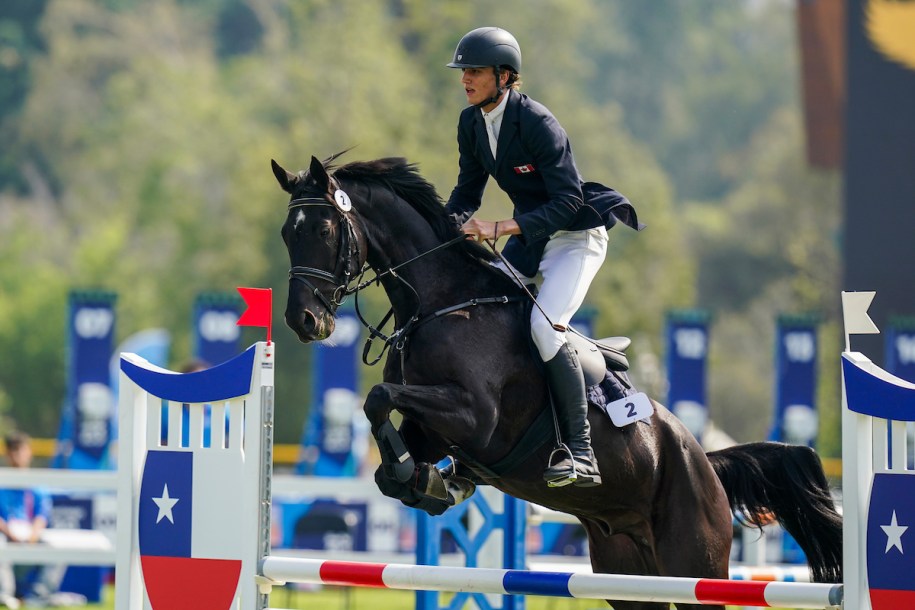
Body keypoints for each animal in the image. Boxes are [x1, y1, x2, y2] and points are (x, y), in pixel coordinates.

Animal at [274, 154, 844, 604]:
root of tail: (706, 463)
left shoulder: (474, 417)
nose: (304, 321)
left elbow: (378, 396)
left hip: (695, 565)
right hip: (626, 574)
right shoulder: (435, 429)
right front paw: (428, 481)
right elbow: (385, 429)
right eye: (286, 234)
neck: (442, 303)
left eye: (322, 230)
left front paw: (423, 478)